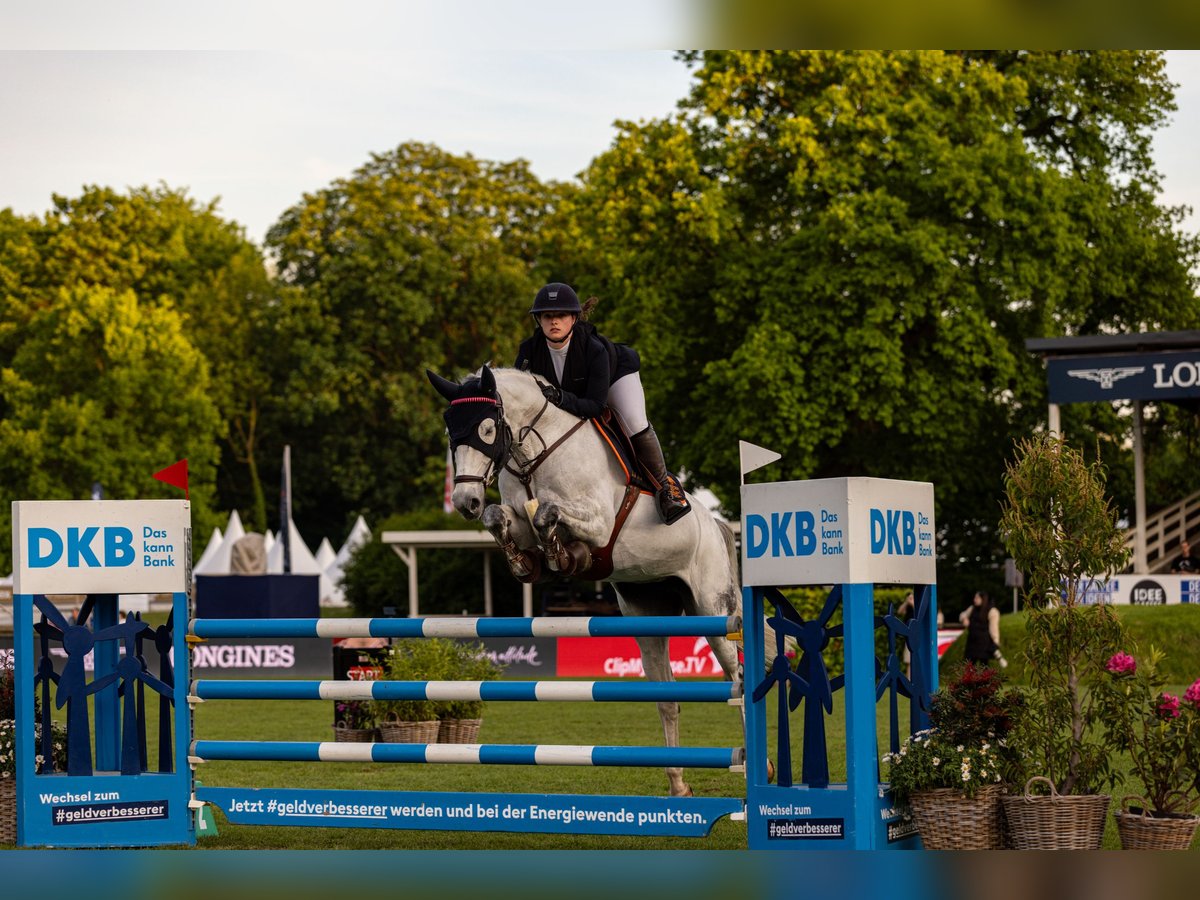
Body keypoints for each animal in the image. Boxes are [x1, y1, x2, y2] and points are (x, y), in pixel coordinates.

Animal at [427, 367, 744, 796]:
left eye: (487, 429)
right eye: (450, 433)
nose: (464, 503)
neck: (534, 456)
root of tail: (716, 525)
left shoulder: (598, 522)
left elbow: (547, 511)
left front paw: (564, 555)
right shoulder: (516, 520)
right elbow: (502, 517)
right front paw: (527, 563)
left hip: (714, 610)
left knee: (738, 679)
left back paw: (758, 767)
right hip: (648, 616)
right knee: (667, 699)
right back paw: (679, 785)